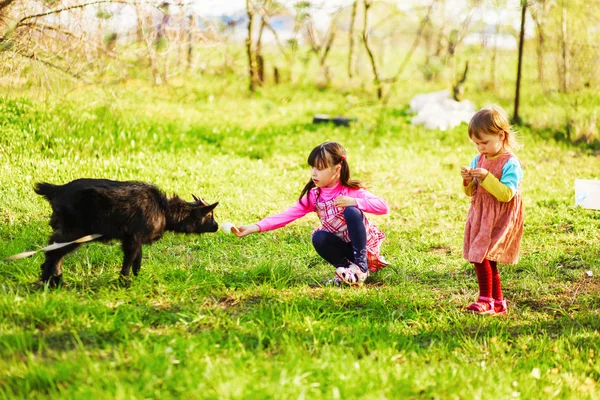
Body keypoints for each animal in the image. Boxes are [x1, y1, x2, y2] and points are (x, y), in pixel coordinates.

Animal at [34, 177, 218, 284]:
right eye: (210, 215)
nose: (216, 226)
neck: (163, 208)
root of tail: (56, 190)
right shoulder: (133, 238)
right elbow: (129, 259)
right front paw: (125, 281)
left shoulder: (133, 238)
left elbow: (138, 257)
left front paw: (136, 275)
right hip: (75, 231)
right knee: (53, 251)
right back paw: (50, 280)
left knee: (52, 250)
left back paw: (52, 277)